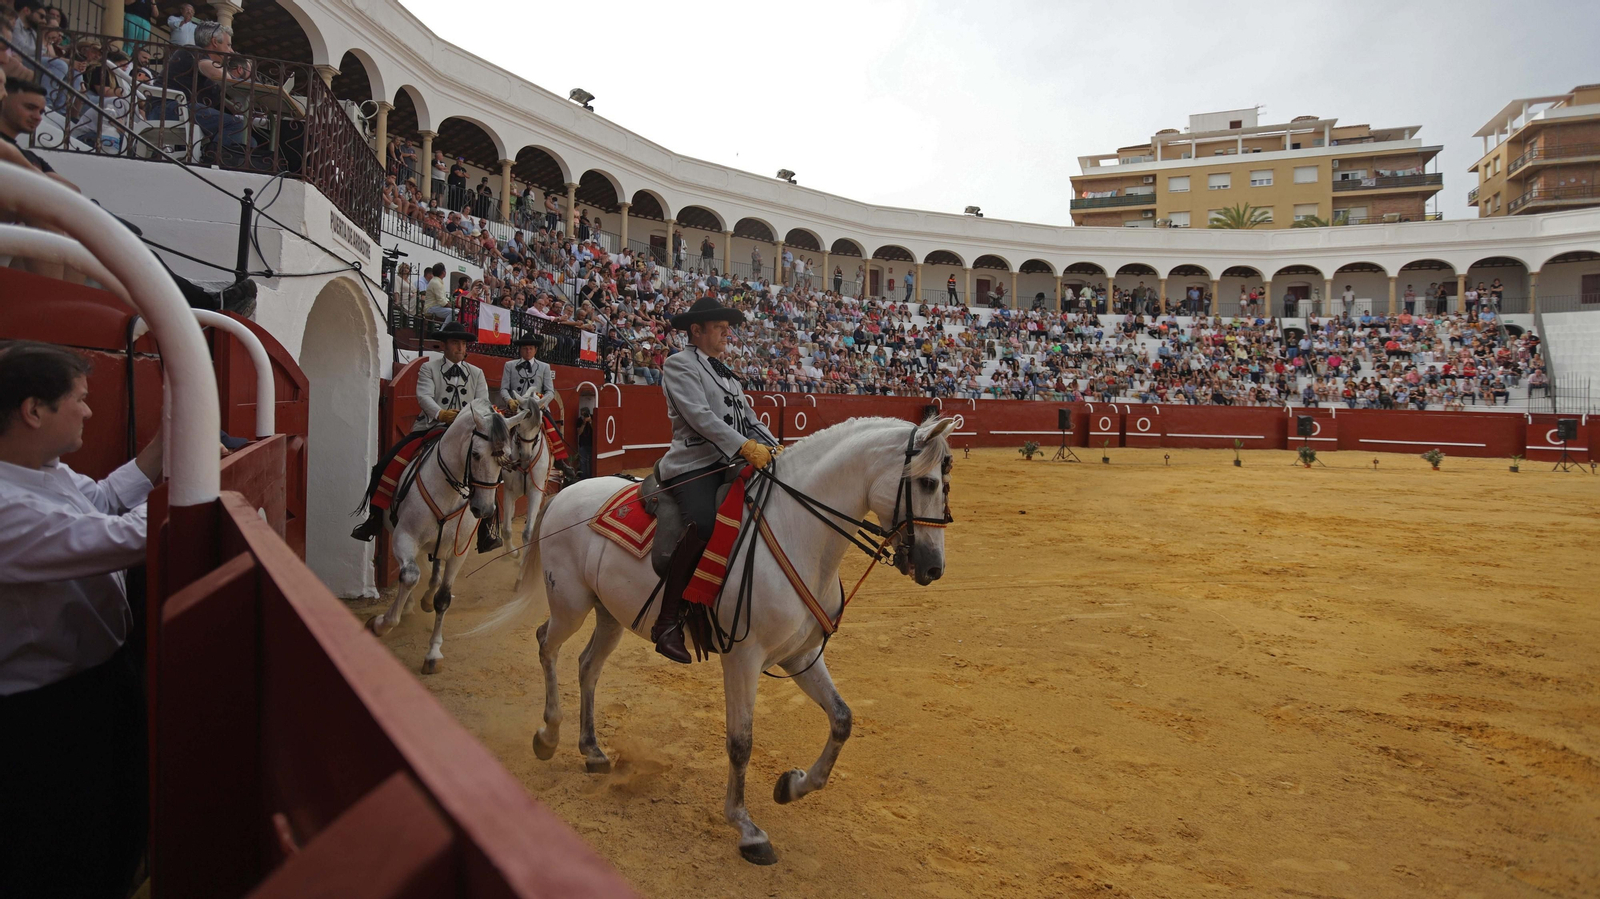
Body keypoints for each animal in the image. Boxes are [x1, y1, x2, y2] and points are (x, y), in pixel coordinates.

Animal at [365, 398, 525, 674]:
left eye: (505, 457)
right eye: (475, 454)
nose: (484, 510)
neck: (448, 490)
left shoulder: (459, 550)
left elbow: (443, 598)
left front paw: (433, 653)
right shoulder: (404, 536)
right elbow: (409, 575)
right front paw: (381, 624)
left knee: (434, 570)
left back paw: (425, 598)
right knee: (411, 571)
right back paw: (408, 604)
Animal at [479, 415, 956, 864]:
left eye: (945, 483)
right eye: (928, 482)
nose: (933, 568)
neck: (796, 529)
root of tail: (566, 494)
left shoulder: (799, 655)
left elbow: (842, 718)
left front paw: (793, 786)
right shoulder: (743, 658)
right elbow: (741, 742)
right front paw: (747, 829)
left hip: (610, 614)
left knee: (587, 666)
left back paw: (592, 750)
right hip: (570, 604)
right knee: (546, 644)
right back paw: (548, 735)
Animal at [498, 387, 559, 565]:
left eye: (538, 426)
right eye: (518, 424)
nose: (525, 455)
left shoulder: (535, 492)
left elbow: (527, 533)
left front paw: (524, 560)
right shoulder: (509, 491)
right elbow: (506, 529)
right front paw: (513, 553)